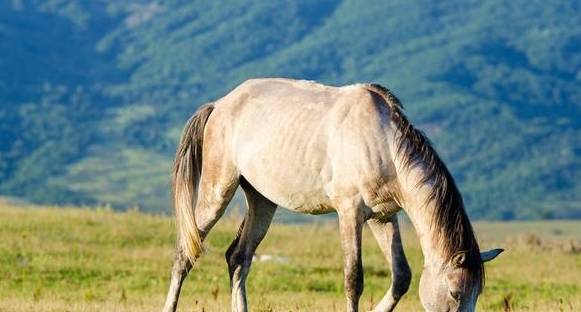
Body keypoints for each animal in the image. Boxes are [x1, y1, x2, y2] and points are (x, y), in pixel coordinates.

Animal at [161, 78, 500, 312]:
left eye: (478, 293)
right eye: (456, 293)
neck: (384, 144)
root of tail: (219, 105)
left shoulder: (383, 217)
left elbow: (401, 276)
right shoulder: (349, 213)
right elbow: (353, 279)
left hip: (262, 200)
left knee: (239, 257)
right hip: (218, 190)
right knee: (185, 252)